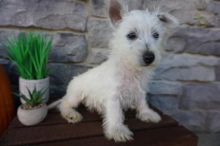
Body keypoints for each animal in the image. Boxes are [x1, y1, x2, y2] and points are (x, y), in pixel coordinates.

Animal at [49, 0, 178, 141]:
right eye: (131, 35)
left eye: (156, 35)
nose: (149, 57)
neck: (131, 68)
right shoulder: (113, 95)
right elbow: (115, 113)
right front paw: (117, 130)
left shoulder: (140, 89)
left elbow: (142, 101)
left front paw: (147, 113)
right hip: (75, 95)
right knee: (64, 103)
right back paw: (71, 114)